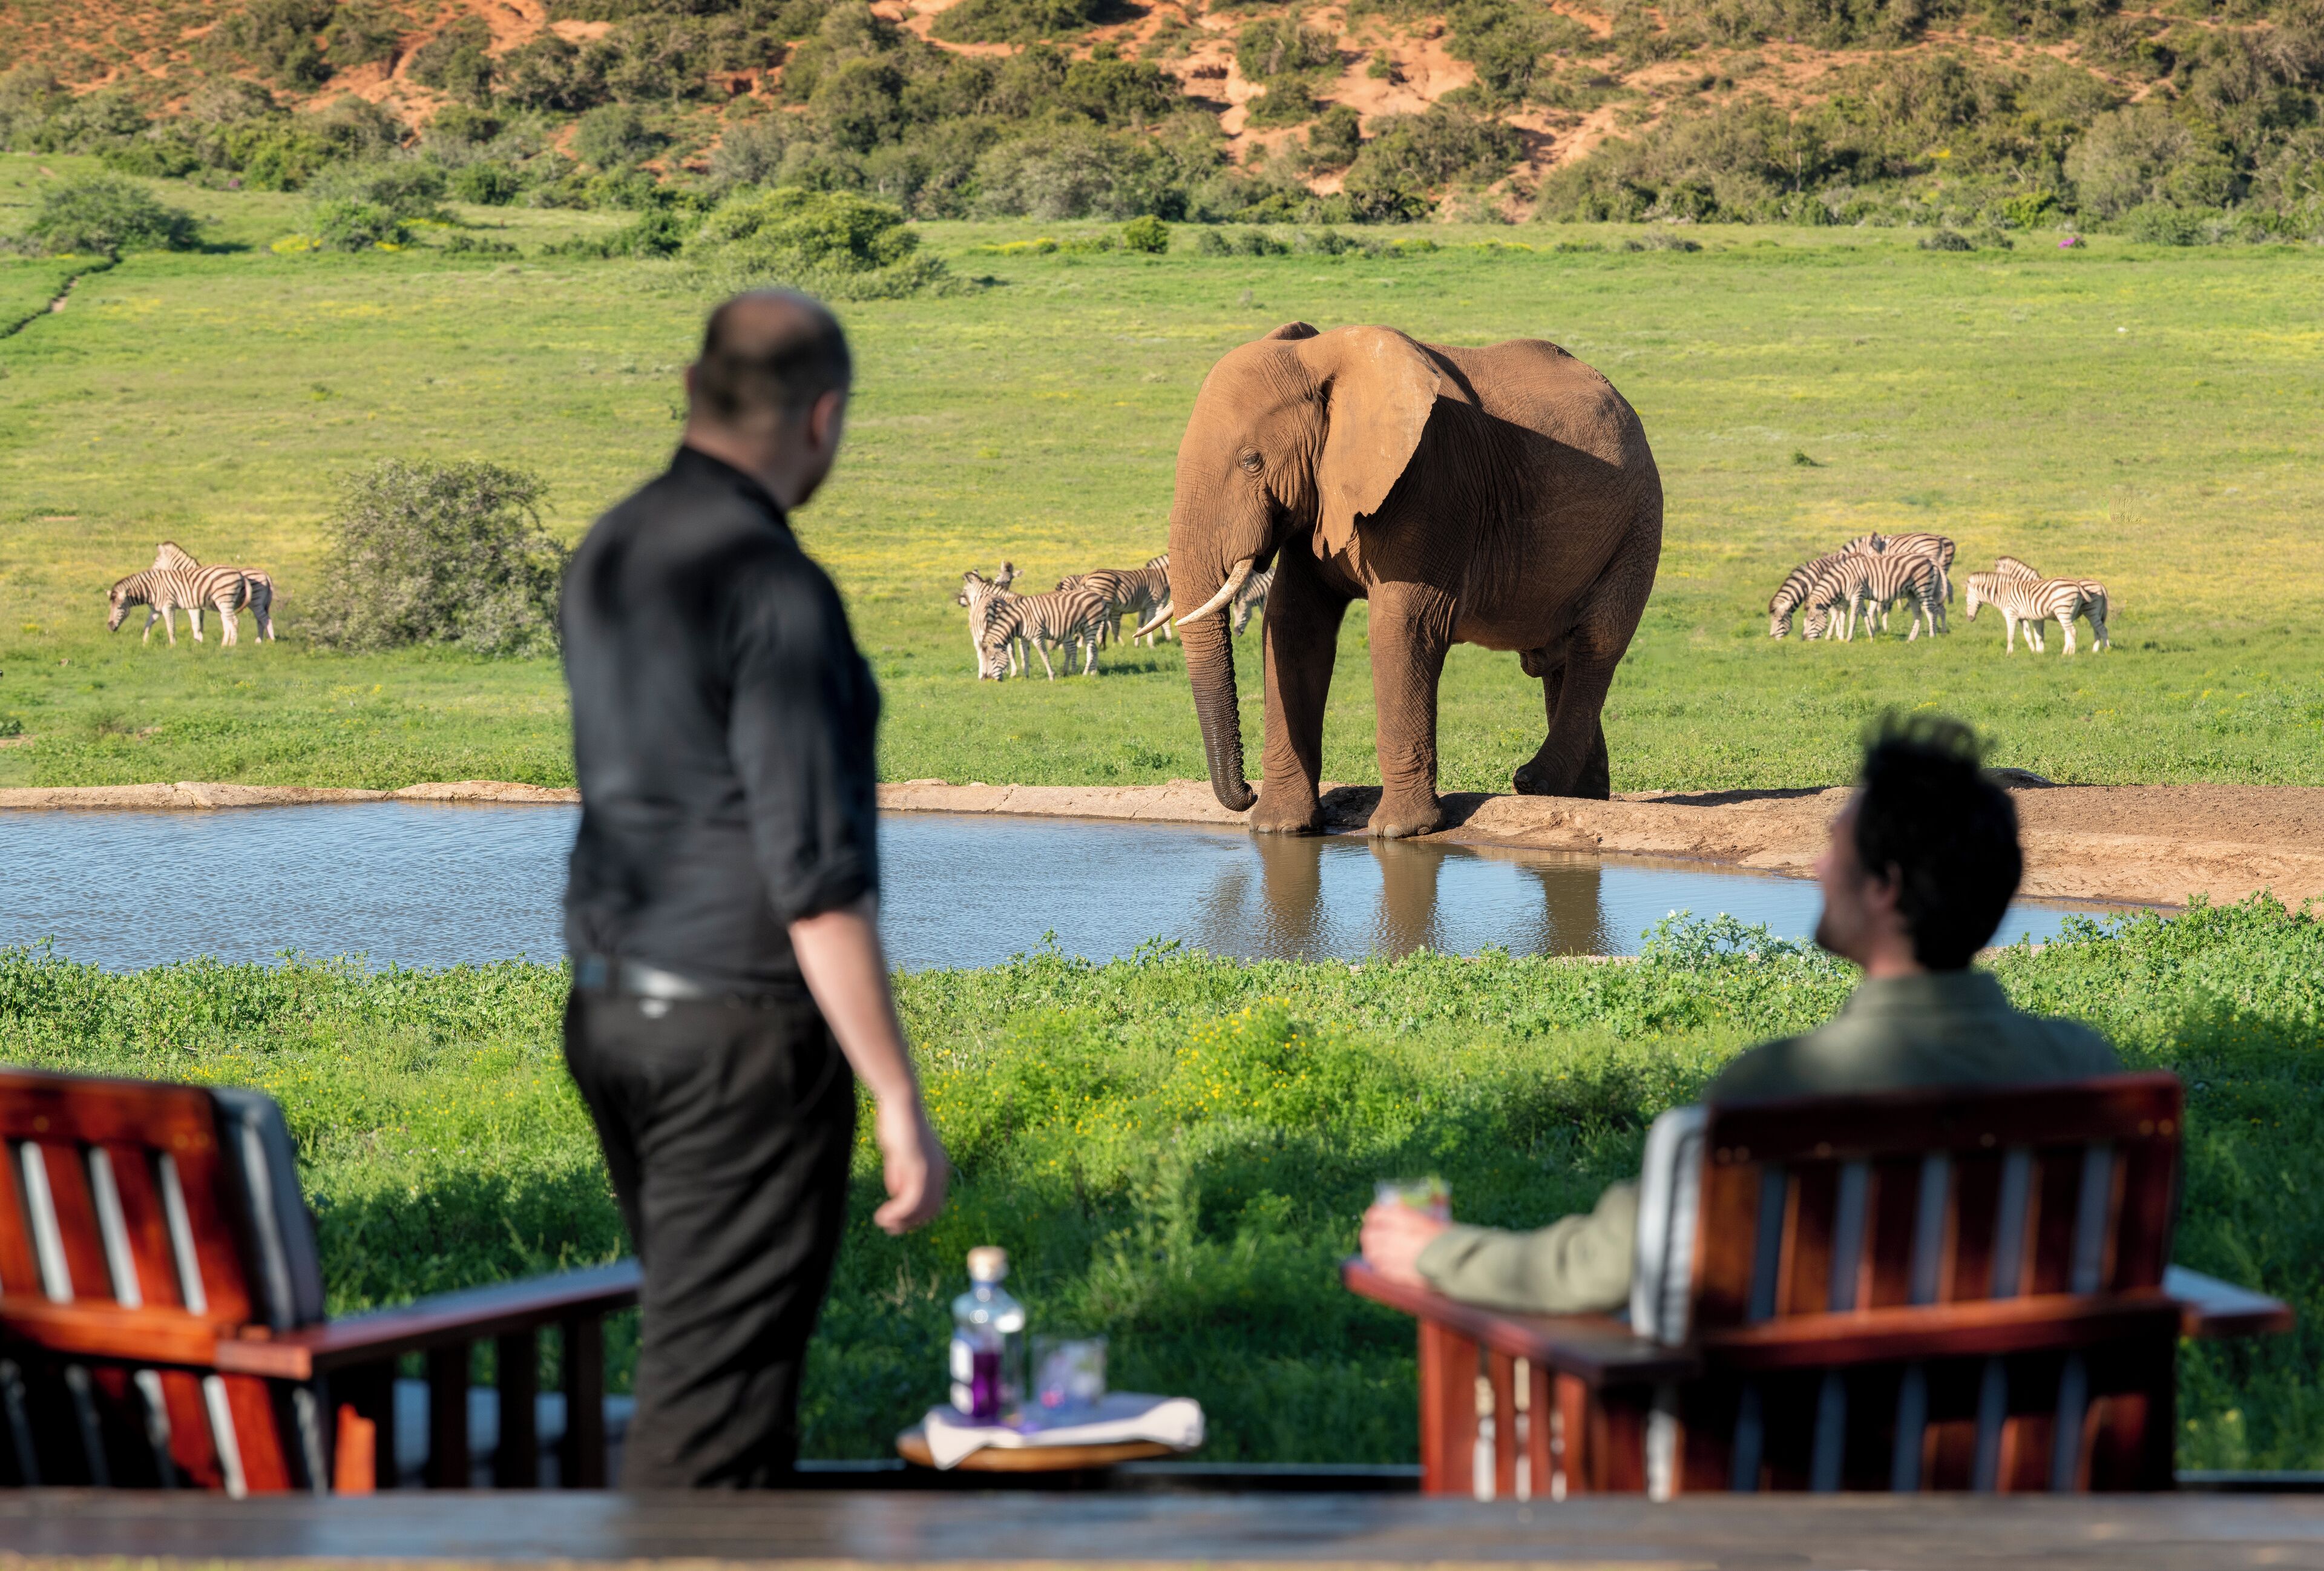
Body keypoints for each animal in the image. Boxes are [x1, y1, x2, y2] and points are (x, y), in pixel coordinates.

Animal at [1147, 322, 1662, 839]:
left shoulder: (1431, 478)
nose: (1247, 792)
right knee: (1555, 657)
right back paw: (1579, 796)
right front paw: (1279, 829)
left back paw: (1535, 781)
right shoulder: (1319, 495)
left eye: (1251, 461)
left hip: (1640, 523)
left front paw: (1399, 832)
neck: (1320, 356)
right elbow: (1293, 626)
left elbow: (1402, 627)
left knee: (1596, 644)